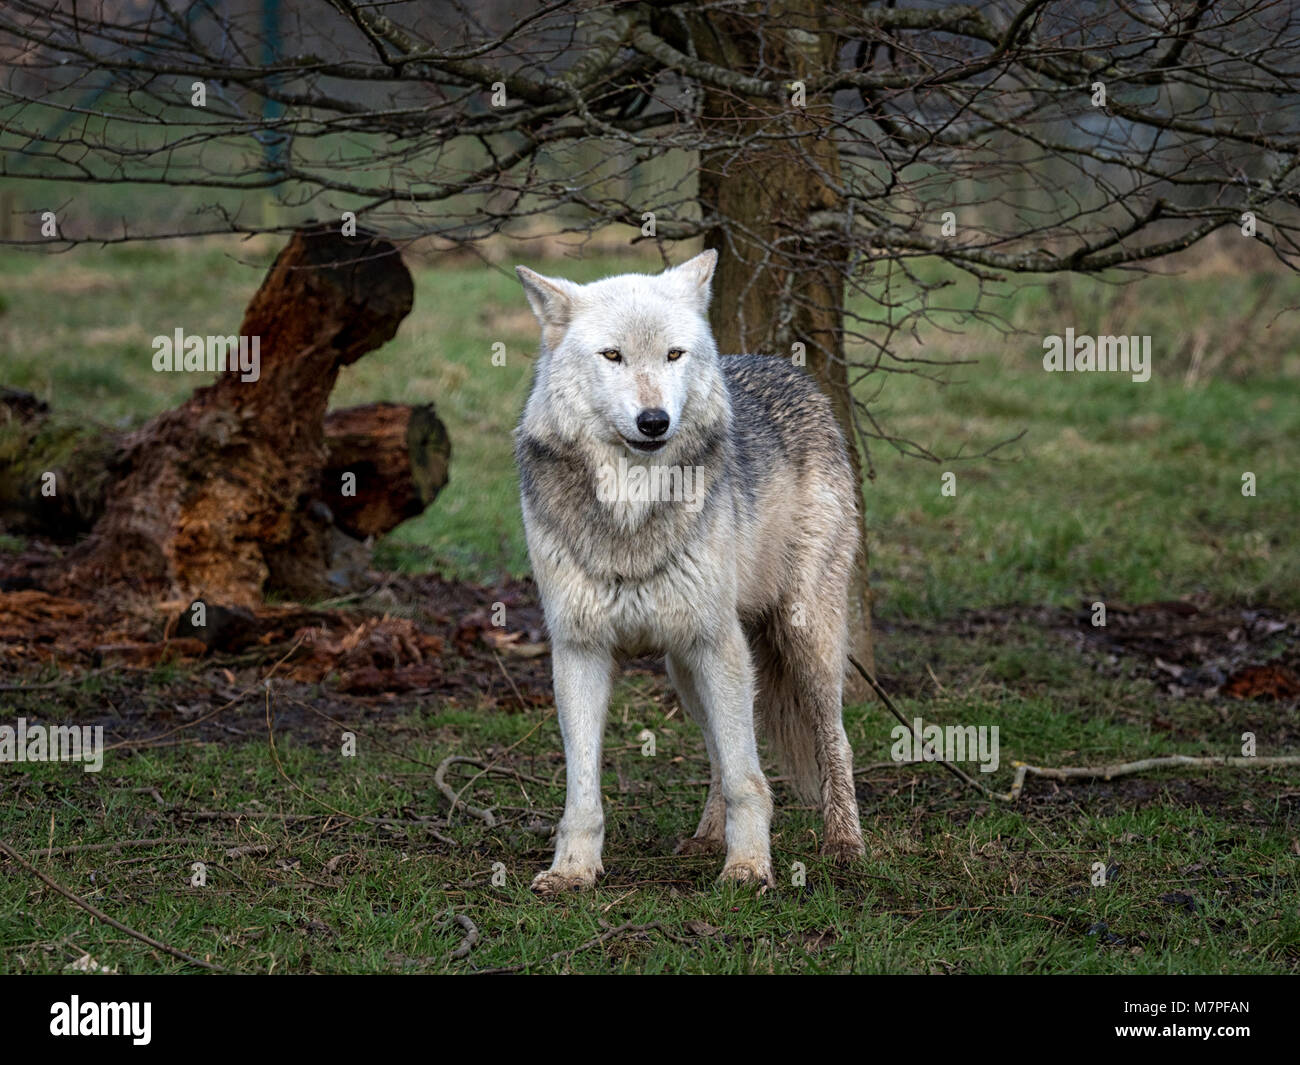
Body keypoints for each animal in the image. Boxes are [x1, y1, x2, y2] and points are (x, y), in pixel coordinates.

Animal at [514, 253, 863, 894]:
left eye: (674, 354)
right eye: (612, 356)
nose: (654, 421)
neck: (630, 512)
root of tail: (785, 367)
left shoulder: (716, 640)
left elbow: (750, 779)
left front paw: (748, 868)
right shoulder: (579, 648)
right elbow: (583, 790)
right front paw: (572, 871)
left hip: (802, 635)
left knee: (834, 742)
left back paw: (845, 844)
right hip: (684, 666)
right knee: (719, 751)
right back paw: (706, 838)